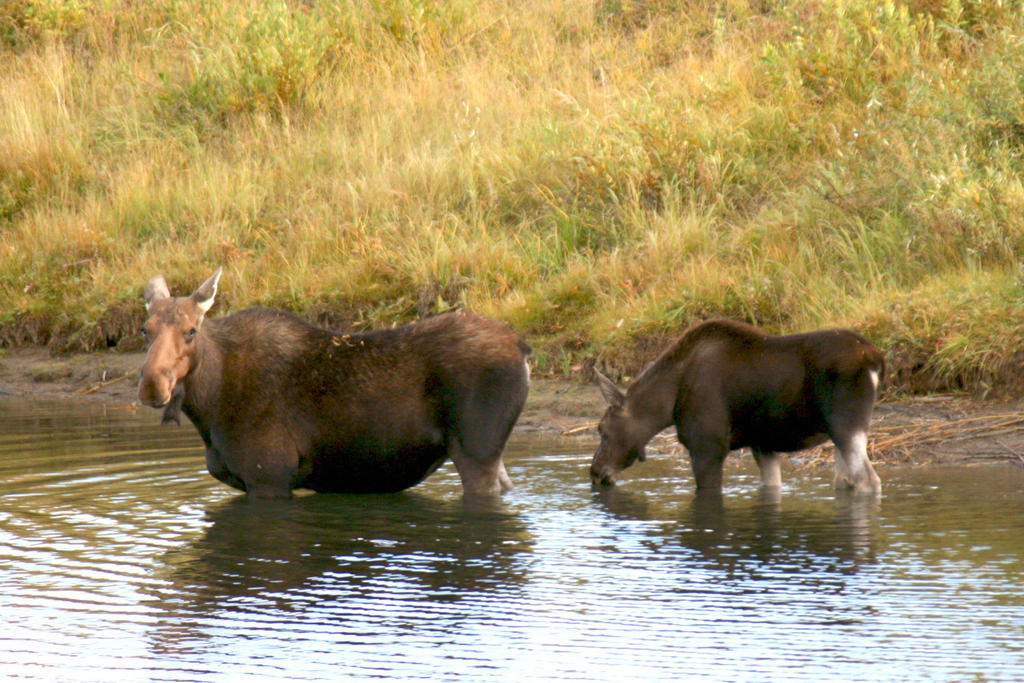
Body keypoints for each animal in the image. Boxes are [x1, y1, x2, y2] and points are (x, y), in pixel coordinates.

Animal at [137, 270, 532, 499]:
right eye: (145, 330)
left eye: (191, 330)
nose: (152, 385)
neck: (210, 406)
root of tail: (523, 347)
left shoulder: (270, 477)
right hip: (489, 453)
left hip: (475, 451)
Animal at [593, 321, 888, 497]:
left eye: (602, 430)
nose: (595, 472)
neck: (667, 403)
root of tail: (876, 359)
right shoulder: (762, 444)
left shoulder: (707, 447)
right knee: (845, 480)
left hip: (845, 426)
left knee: (868, 480)